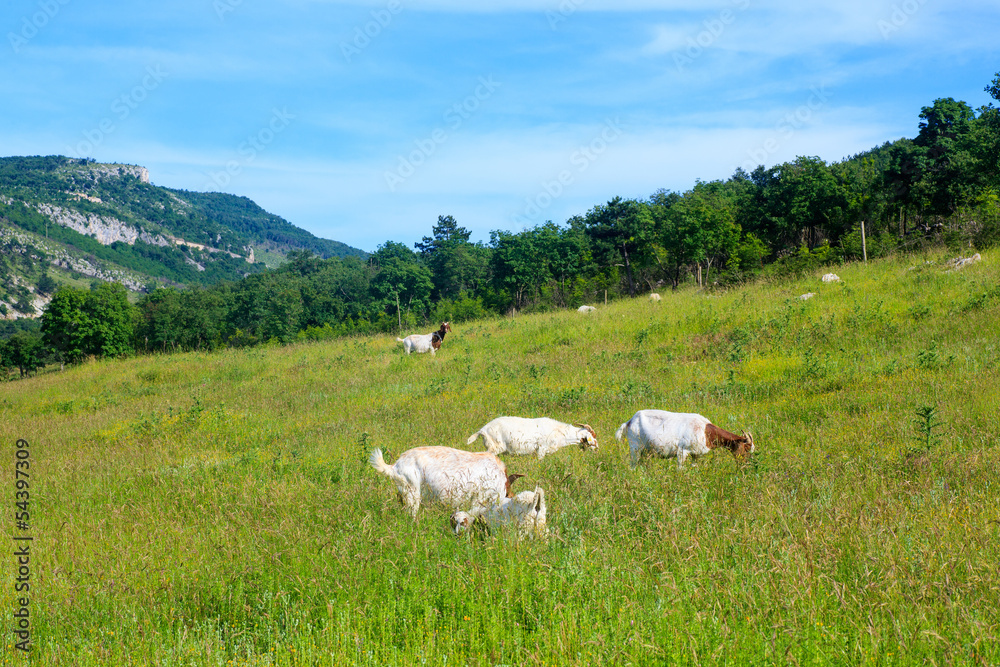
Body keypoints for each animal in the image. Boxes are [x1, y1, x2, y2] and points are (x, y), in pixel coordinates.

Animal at [615, 410, 754, 468]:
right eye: (747, 448)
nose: (746, 464)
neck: (705, 431)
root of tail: (629, 421)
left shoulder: (696, 455)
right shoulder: (682, 451)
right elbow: (680, 468)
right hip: (635, 446)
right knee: (633, 464)